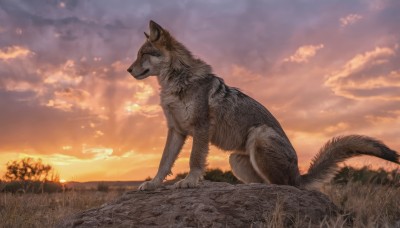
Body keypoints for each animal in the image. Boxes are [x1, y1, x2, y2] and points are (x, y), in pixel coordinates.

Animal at [128, 20, 400, 191]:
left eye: (143, 54)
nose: (128, 70)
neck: (175, 82)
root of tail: (299, 176)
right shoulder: (176, 130)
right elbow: (164, 162)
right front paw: (154, 184)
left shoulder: (200, 127)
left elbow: (195, 160)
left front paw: (190, 181)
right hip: (236, 160)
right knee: (267, 184)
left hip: (259, 135)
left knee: (283, 186)